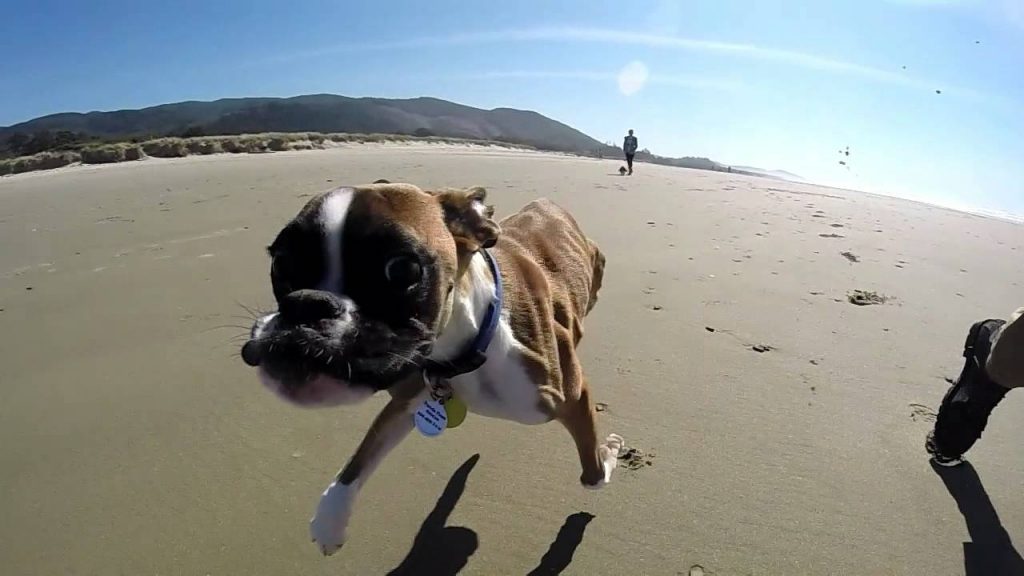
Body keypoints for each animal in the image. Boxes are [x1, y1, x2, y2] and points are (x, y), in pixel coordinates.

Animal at [241, 181, 622, 553]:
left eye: (402, 270)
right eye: (279, 263)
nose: (307, 304)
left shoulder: (570, 395)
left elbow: (592, 473)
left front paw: (610, 453)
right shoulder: (409, 395)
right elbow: (361, 457)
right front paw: (330, 520)